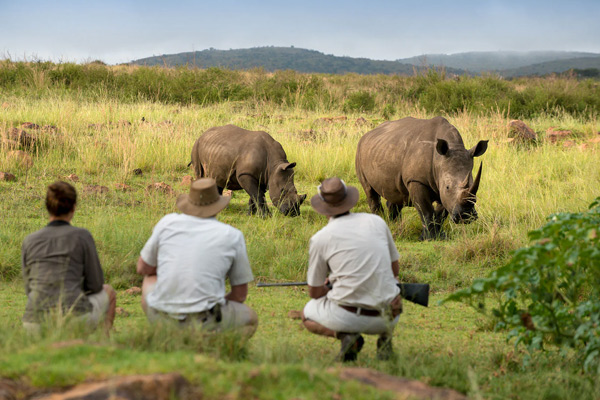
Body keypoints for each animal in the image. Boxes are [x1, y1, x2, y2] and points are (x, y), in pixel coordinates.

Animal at [356, 116, 488, 241]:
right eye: (447, 187)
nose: (466, 216)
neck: (439, 160)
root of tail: (367, 135)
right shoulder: (416, 180)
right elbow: (426, 211)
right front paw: (428, 239)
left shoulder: (441, 184)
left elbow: (440, 213)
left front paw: (440, 237)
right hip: (360, 151)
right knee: (370, 192)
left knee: (395, 194)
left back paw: (395, 225)